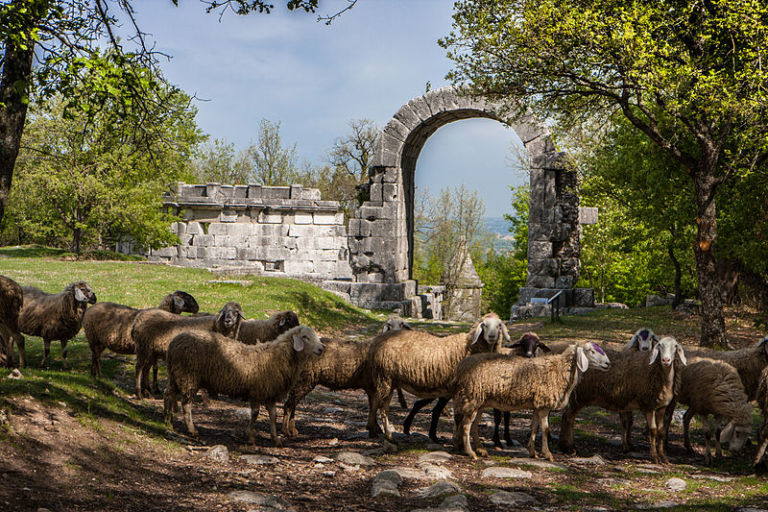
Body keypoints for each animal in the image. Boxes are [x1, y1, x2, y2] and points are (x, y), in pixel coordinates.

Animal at [165, 326, 324, 446]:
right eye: (305, 337)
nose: (322, 348)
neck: (276, 357)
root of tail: (174, 342)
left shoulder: (269, 393)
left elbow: (273, 416)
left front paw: (275, 439)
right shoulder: (257, 392)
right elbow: (255, 414)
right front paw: (251, 438)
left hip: (175, 374)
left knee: (168, 394)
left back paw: (168, 421)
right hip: (188, 376)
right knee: (186, 404)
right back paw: (192, 430)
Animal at [368, 310, 510, 442]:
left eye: (499, 325)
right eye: (484, 325)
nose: (491, 336)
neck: (468, 347)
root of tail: (378, 340)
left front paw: (438, 436)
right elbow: (456, 415)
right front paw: (456, 440)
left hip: (388, 380)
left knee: (378, 403)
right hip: (384, 378)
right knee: (379, 405)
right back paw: (380, 432)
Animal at [450, 342, 612, 458]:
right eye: (591, 351)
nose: (608, 364)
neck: (561, 369)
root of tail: (460, 367)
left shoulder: (538, 405)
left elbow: (534, 427)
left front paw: (532, 452)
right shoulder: (544, 404)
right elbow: (545, 429)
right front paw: (548, 454)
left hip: (479, 402)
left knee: (473, 425)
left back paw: (478, 449)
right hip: (471, 397)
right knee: (466, 425)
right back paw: (470, 452)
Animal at [556, 336, 688, 464]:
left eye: (675, 346)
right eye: (659, 346)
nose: (666, 360)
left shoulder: (661, 407)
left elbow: (660, 431)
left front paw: (663, 457)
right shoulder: (648, 405)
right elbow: (653, 431)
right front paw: (654, 457)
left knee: (568, 417)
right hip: (580, 396)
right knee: (568, 418)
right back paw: (568, 447)